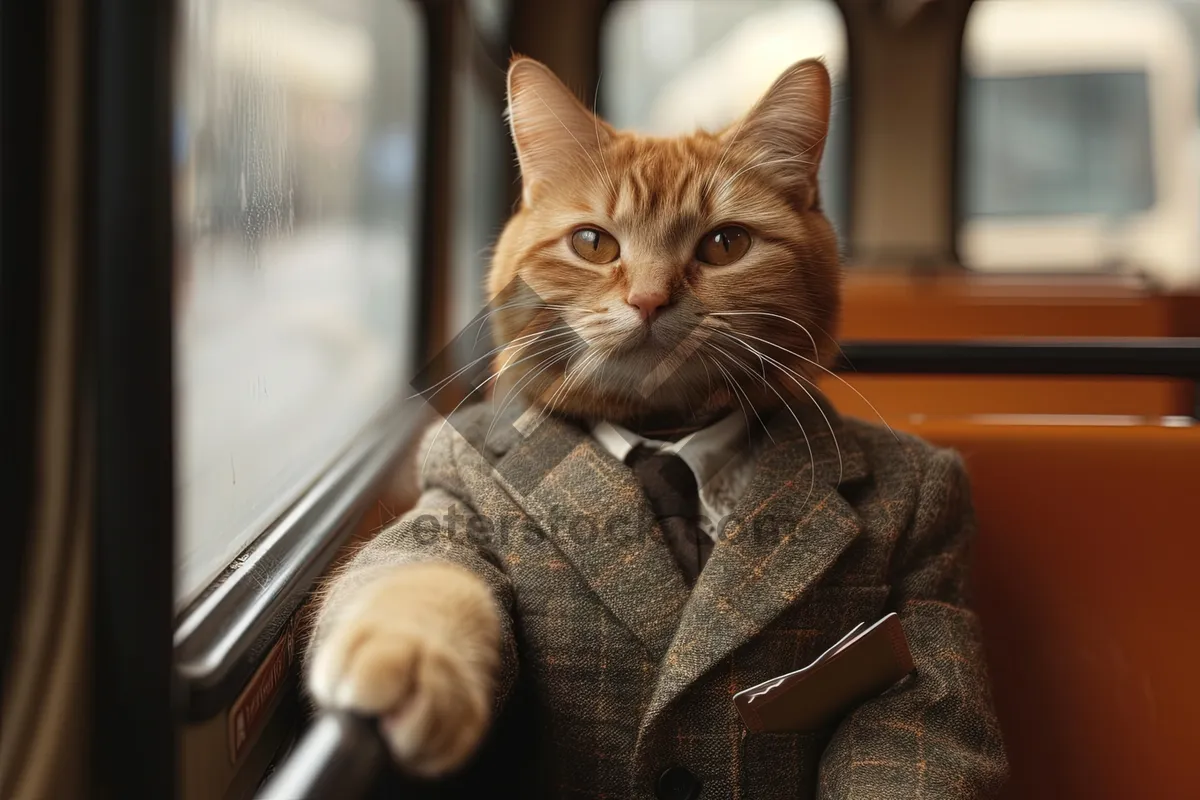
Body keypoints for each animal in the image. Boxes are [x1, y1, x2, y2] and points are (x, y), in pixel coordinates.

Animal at [307, 54, 835, 777]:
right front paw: (410, 653)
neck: (661, 435)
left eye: (726, 245)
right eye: (593, 243)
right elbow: (422, 569)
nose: (649, 300)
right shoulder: (448, 496)